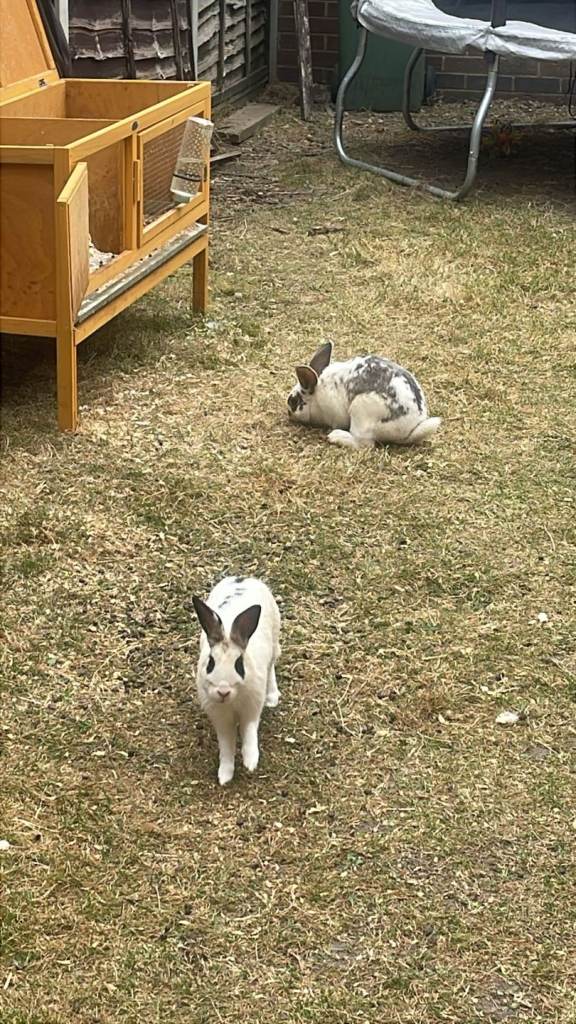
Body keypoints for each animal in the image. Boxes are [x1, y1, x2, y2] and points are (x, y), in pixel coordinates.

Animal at [192, 576, 281, 786]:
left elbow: (249, 732)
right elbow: (226, 746)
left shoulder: (251, 708)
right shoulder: (221, 719)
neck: (232, 701)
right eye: (211, 663)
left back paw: (272, 697)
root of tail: (243, 578)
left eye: (239, 664)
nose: (223, 691)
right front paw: (225, 776)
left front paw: (250, 762)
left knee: (272, 666)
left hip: (274, 638)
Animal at [287, 341, 441, 449]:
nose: (289, 413)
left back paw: (335, 436)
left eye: (293, 401)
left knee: (364, 444)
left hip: (361, 411)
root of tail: (410, 428)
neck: (317, 393)